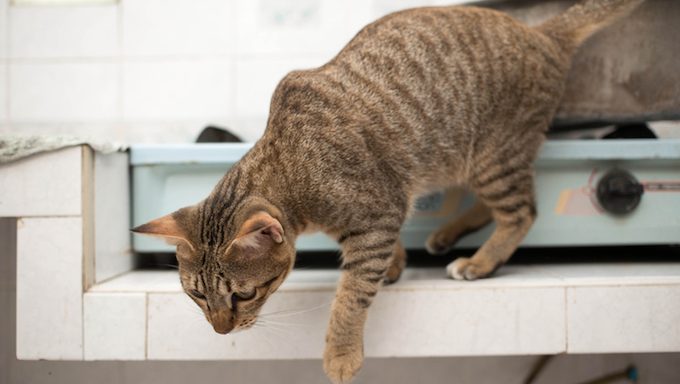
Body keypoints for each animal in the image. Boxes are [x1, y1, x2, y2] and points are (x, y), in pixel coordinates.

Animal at [133, 1, 644, 382]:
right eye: (197, 297)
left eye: (243, 294)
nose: (221, 332)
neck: (290, 163)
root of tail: (541, 33)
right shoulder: (380, 214)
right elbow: (380, 259)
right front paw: (396, 265)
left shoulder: (377, 213)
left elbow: (351, 294)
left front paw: (341, 353)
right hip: (473, 162)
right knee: (493, 207)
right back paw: (447, 235)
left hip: (494, 157)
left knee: (521, 213)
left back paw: (479, 262)